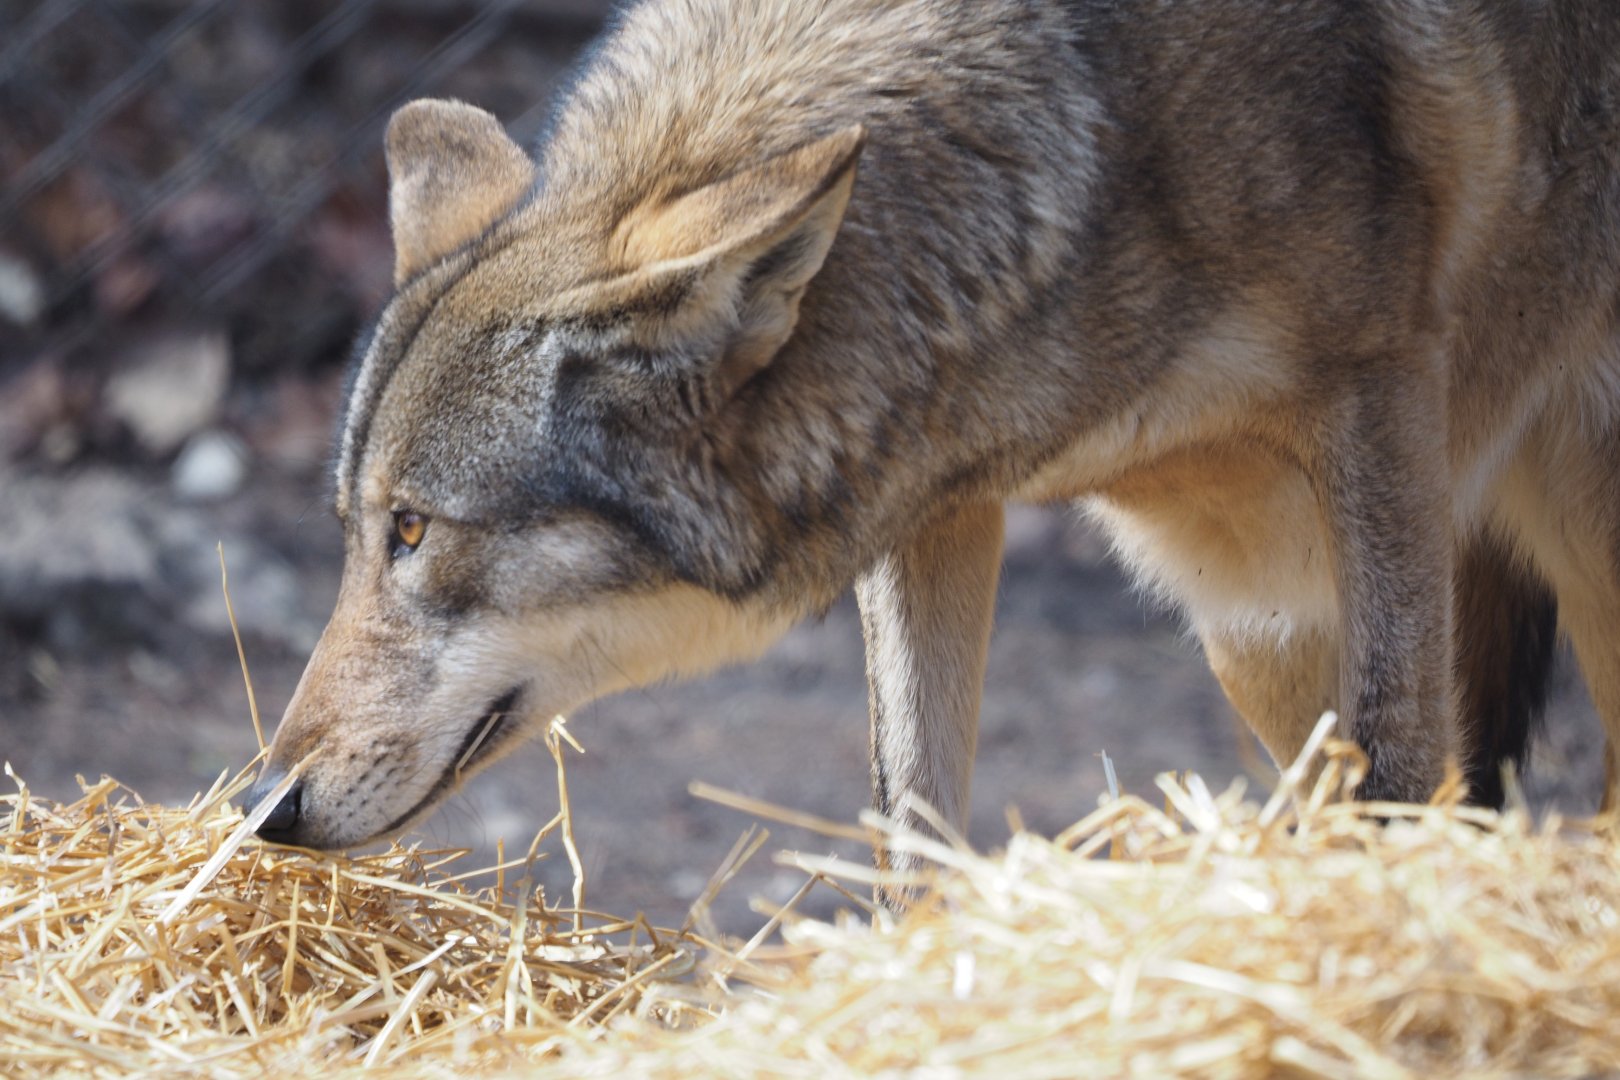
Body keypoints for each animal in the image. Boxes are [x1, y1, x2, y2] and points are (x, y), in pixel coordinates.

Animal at [249, 0, 1620, 871]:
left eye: (413, 530)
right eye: (357, 534)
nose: (263, 805)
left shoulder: (1383, 401)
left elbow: (1399, 766)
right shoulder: (936, 506)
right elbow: (908, 825)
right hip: (1257, 625)